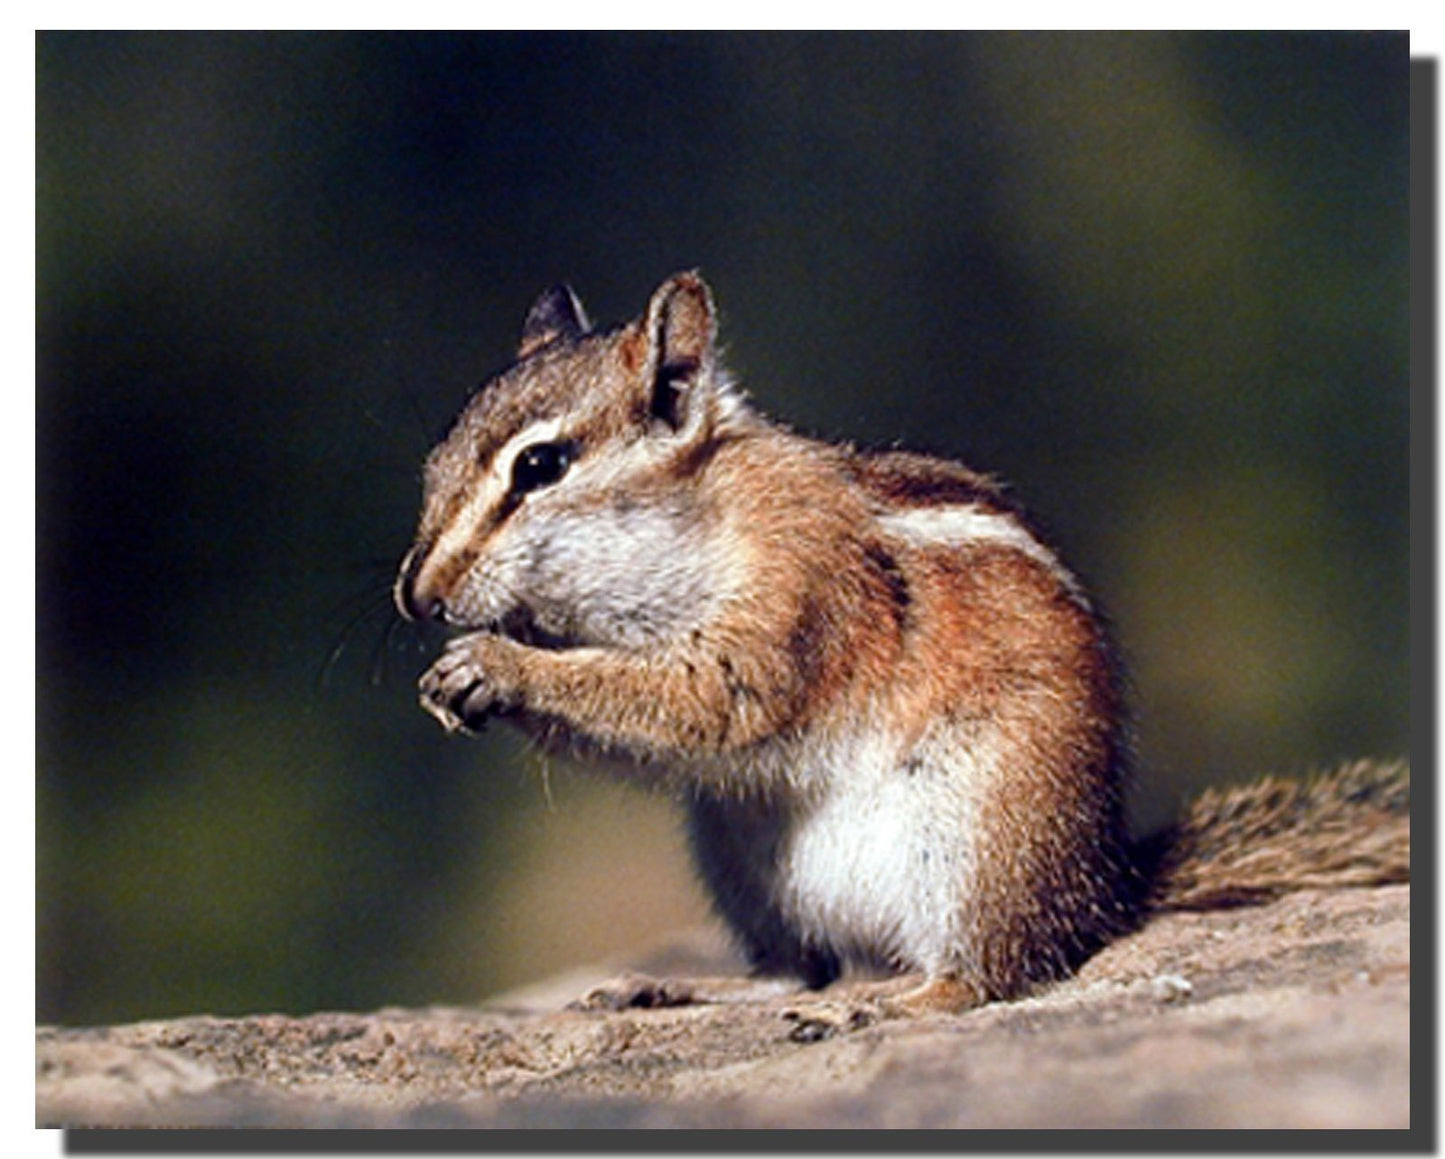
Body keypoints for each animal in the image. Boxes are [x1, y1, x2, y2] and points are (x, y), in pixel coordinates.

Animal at [394, 272, 1410, 1015]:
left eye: (540, 466)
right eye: (433, 460)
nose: (417, 595)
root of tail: (1103, 884)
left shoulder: (793, 603)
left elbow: (703, 702)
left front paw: (497, 666)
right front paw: (456, 677)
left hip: (978, 833)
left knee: (990, 976)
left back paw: (889, 1003)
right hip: (738, 859)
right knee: (799, 968)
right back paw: (683, 988)